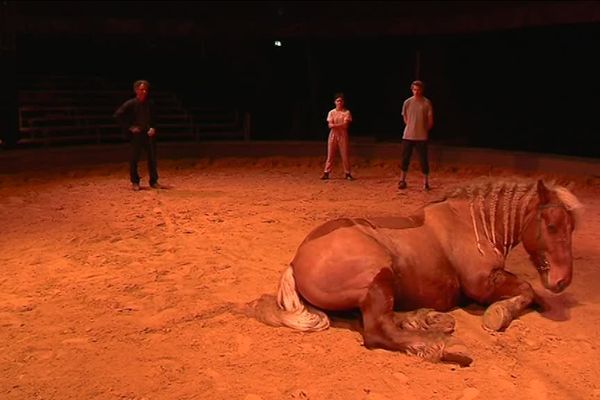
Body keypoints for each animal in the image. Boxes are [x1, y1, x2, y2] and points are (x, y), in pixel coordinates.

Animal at [251, 178, 584, 366]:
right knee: (379, 330)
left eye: (571, 227)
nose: (562, 280)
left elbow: (533, 292)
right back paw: (446, 346)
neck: (473, 224)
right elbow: (526, 289)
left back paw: (431, 320)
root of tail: (296, 262)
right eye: (551, 225)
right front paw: (498, 315)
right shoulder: (483, 284)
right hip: (379, 276)